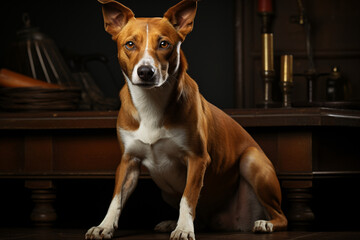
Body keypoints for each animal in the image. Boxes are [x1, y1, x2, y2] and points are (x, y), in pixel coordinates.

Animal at [84, 0, 286, 239]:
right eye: (130, 44)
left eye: (164, 44)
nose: (146, 72)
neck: (151, 103)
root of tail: (231, 221)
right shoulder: (128, 161)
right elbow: (116, 199)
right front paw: (105, 226)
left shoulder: (197, 159)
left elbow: (188, 199)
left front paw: (183, 229)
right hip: (167, 190)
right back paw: (173, 222)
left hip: (252, 160)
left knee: (281, 216)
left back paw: (266, 223)